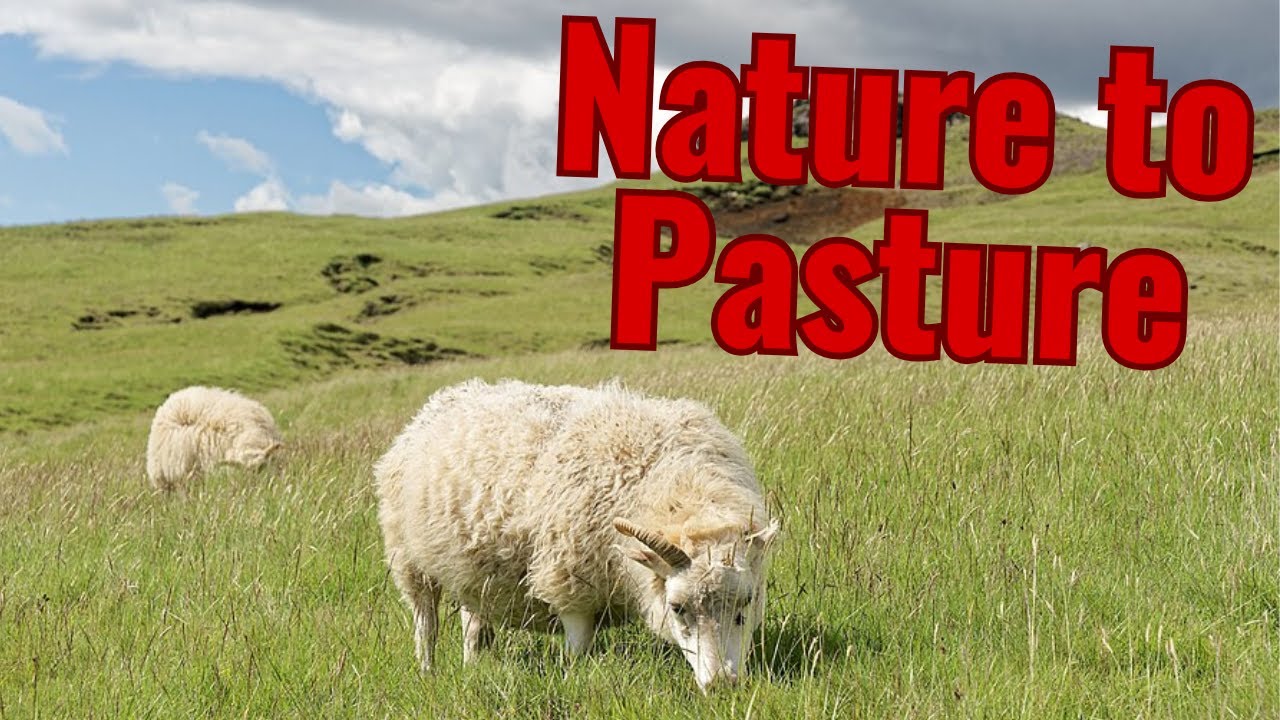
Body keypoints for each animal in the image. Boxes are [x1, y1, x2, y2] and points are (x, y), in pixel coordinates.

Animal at [374, 378, 779, 691]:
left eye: (747, 602)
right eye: (678, 608)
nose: (722, 684)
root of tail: (439, 401)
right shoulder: (570, 587)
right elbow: (577, 651)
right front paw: (573, 682)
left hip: (472, 573)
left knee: (472, 624)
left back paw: (472, 666)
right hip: (408, 560)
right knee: (426, 623)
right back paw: (427, 671)